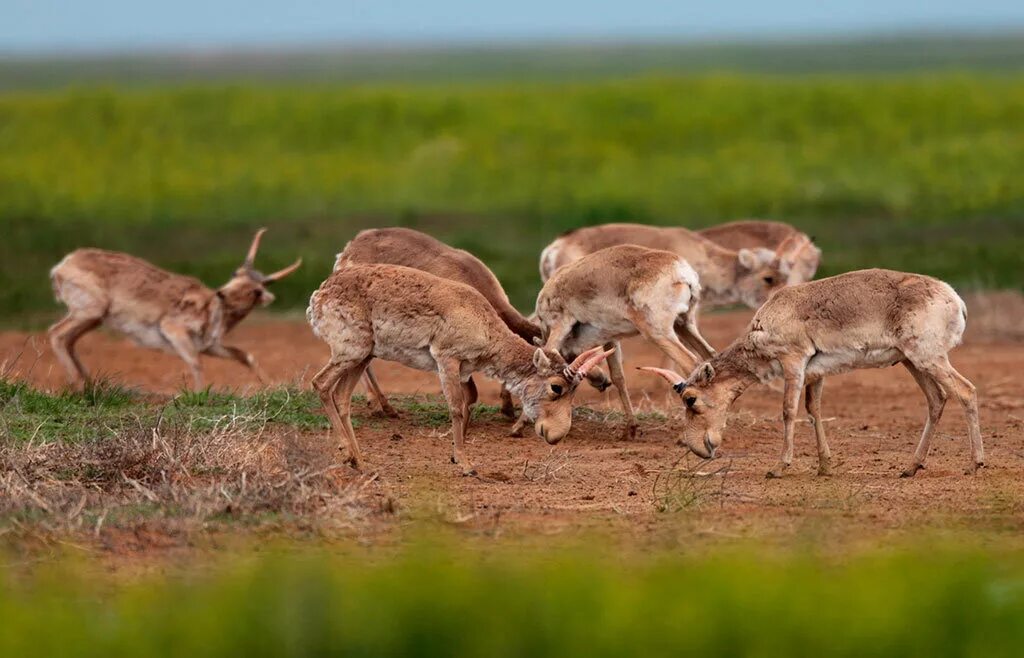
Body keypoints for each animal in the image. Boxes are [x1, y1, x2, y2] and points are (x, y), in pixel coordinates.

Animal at [48, 229, 299, 388]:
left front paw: (274, 386)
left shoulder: (210, 346)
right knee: (56, 333)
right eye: (235, 273)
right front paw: (201, 396)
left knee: (68, 340)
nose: (222, 294)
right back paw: (78, 386)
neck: (213, 313)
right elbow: (196, 363)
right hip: (91, 311)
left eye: (256, 291)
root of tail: (62, 265)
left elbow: (245, 355)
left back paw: (89, 384)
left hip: (94, 317)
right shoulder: (173, 330)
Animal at [303, 261, 606, 472]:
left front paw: (457, 456)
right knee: (321, 383)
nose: (556, 435)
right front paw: (465, 463)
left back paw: (358, 460)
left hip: (365, 355)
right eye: (556, 387)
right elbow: (456, 408)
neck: (486, 328)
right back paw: (347, 452)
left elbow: (466, 403)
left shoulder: (463, 370)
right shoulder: (446, 358)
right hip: (351, 350)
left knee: (341, 396)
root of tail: (318, 294)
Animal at [532, 244, 716, 440]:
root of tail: (682, 270)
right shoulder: (611, 339)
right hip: (684, 325)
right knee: (710, 357)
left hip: (658, 334)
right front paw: (630, 430)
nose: (601, 383)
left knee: (691, 363)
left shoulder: (559, 328)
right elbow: (618, 377)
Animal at [638, 268, 983, 478]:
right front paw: (825, 465)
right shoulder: (816, 373)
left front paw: (780, 466)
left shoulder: (793, 361)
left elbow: (788, 411)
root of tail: (955, 300)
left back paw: (975, 463)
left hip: (929, 357)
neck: (763, 325)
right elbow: (813, 409)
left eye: (691, 399)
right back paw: (911, 466)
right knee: (937, 399)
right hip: (912, 361)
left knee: (966, 390)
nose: (698, 448)